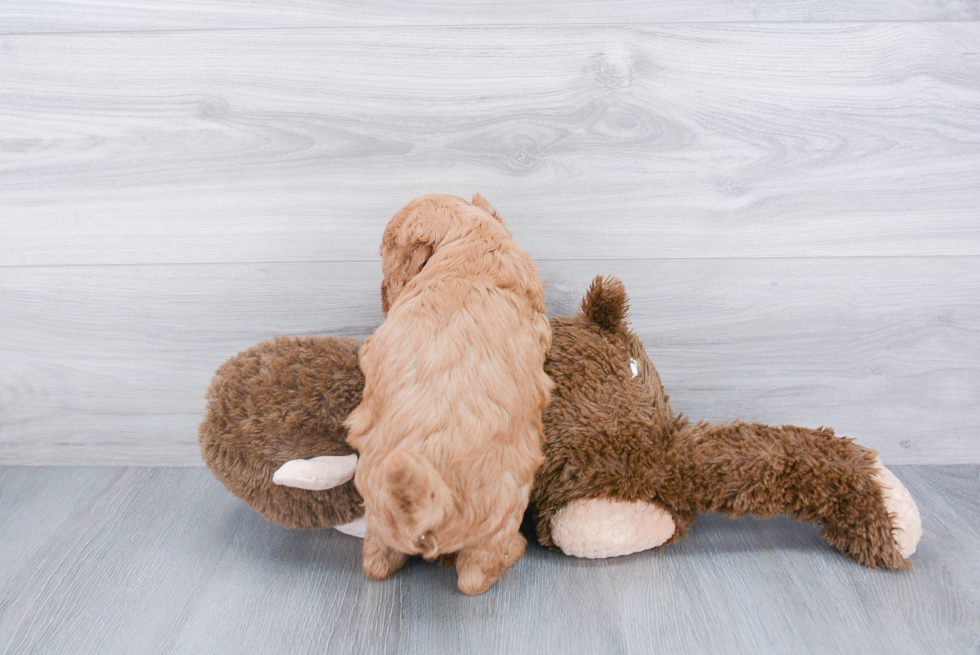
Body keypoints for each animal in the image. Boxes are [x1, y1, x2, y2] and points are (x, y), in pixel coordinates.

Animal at [346, 193, 556, 596]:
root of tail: (432, 503)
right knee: (474, 576)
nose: (383, 296)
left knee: (376, 562)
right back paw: (515, 550)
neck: (469, 240)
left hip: (378, 513)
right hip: (503, 510)